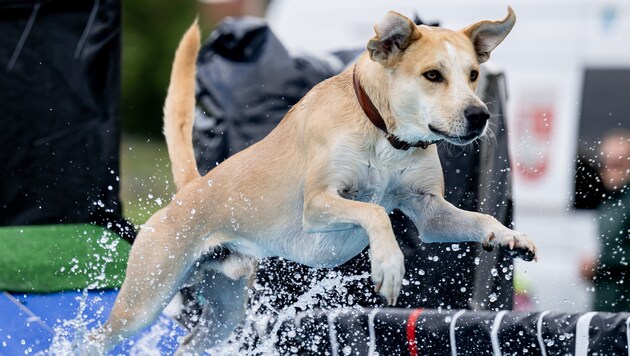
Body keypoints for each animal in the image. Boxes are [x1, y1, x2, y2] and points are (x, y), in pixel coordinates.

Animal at [90, 7, 540, 354]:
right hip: (147, 296)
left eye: (473, 74)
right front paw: (389, 265)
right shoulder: (319, 203)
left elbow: (477, 220)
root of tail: (190, 190)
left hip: (225, 308)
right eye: (433, 75)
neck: (385, 133)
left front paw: (510, 237)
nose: (479, 115)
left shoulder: (429, 211)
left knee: (192, 342)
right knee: (97, 336)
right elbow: (375, 211)